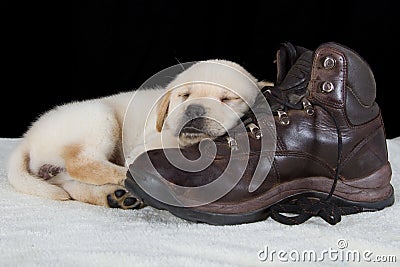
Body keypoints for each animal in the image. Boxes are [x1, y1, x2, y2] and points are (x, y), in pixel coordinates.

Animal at [7, 59, 262, 210]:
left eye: (227, 99)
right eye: (184, 95)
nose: (193, 110)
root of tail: (28, 137)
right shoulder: (152, 138)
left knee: (67, 182)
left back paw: (115, 195)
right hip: (100, 115)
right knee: (83, 164)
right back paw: (126, 178)